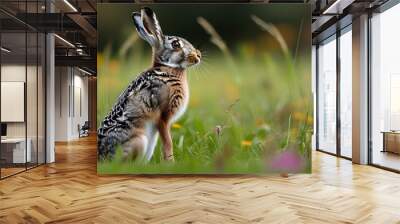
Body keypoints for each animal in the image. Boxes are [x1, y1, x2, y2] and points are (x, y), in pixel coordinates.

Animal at [98, 6, 202, 161]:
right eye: (176, 44)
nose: (198, 55)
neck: (167, 68)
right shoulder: (163, 116)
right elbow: (168, 141)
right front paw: (170, 161)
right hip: (140, 141)